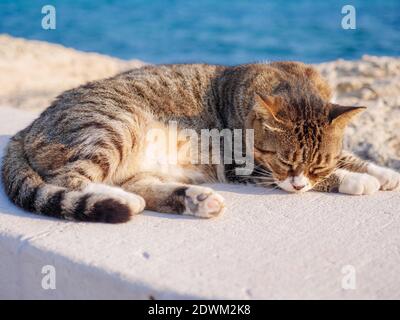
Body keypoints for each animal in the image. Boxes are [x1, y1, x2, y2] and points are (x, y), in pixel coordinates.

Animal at [1, 62, 398, 222]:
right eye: (285, 162)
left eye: (316, 163)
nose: (299, 183)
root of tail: (30, 125)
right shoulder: (249, 166)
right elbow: (334, 174)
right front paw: (356, 180)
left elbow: (347, 156)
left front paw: (382, 172)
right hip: (113, 127)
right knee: (70, 179)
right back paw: (123, 201)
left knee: (142, 188)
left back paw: (196, 199)